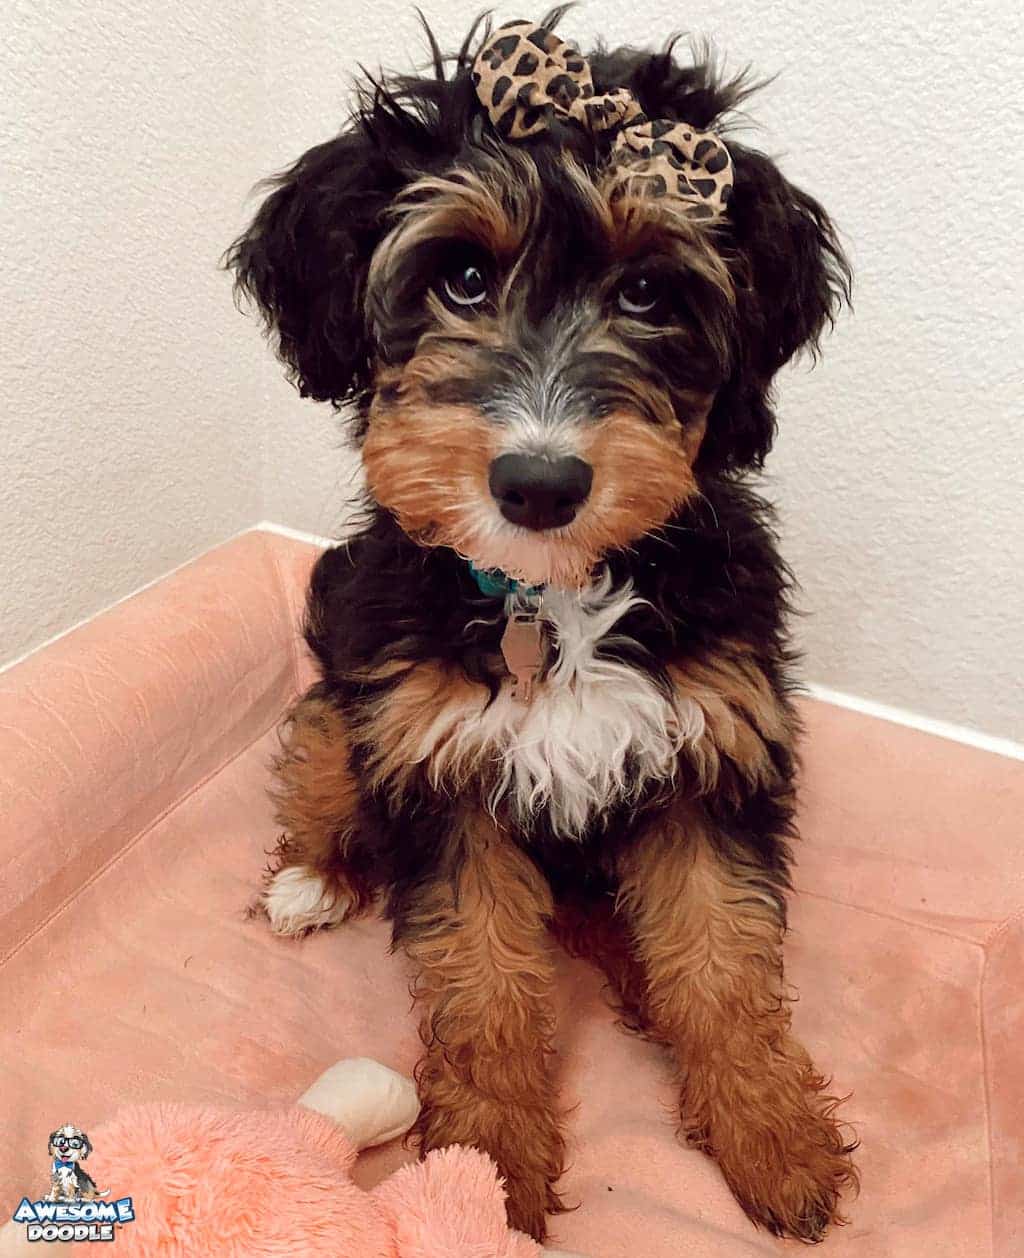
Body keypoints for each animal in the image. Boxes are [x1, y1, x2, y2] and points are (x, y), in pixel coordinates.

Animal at [230, 9, 860, 1242]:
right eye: (463, 276)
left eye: (651, 294)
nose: (538, 483)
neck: (552, 594)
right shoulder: (437, 760)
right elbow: (481, 977)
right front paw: (485, 1165)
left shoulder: (712, 744)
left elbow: (722, 954)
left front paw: (773, 1134)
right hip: (345, 698)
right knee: (321, 767)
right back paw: (312, 879)